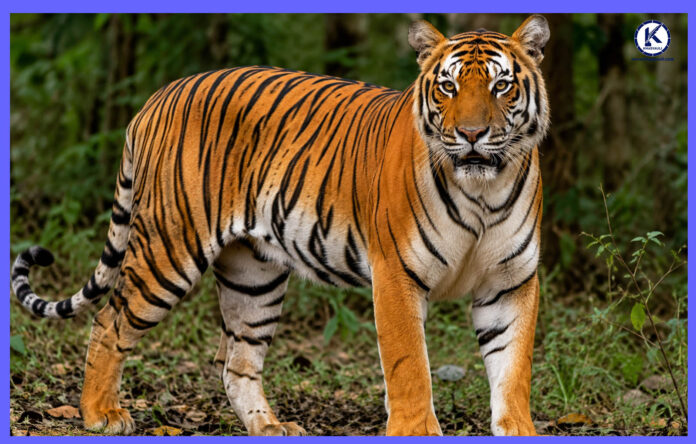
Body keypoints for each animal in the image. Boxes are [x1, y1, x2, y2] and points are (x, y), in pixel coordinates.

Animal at [11, 15, 549, 436]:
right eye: (448, 87)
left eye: (501, 86)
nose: (472, 134)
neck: (482, 194)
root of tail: (157, 97)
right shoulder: (397, 275)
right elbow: (410, 368)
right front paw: (418, 430)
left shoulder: (510, 282)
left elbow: (513, 369)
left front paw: (518, 429)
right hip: (168, 249)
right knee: (109, 322)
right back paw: (100, 414)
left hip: (255, 276)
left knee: (236, 362)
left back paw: (268, 426)